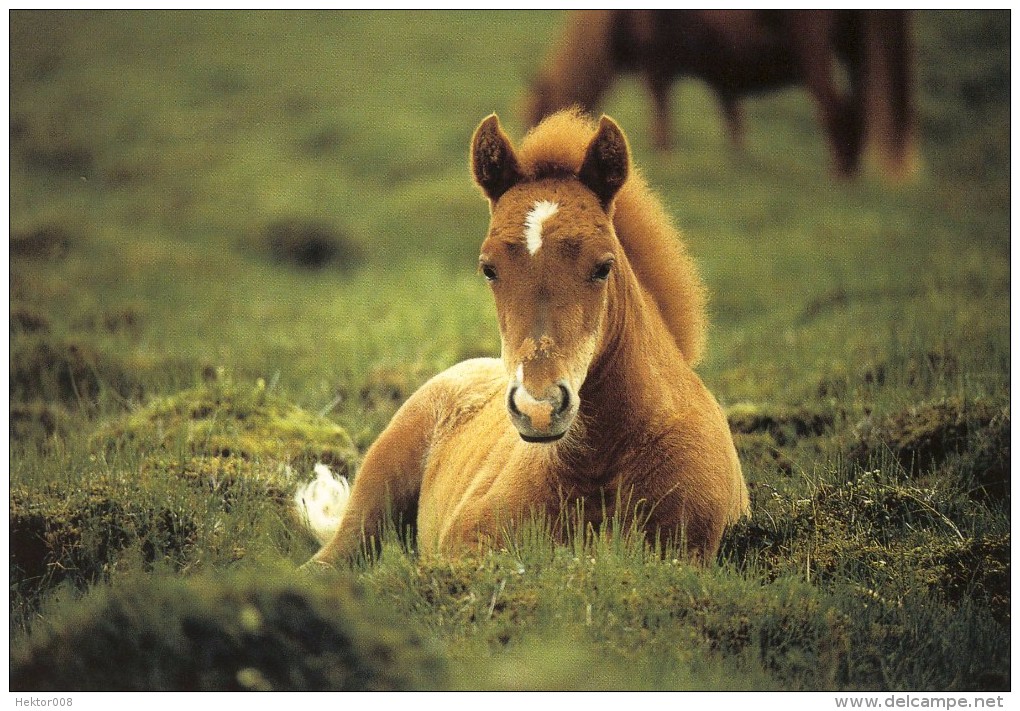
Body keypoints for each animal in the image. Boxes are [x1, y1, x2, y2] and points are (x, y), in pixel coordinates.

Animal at [526, 10, 918, 180]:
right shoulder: (724, 79)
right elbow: (733, 121)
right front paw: (738, 160)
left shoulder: (657, 63)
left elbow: (662, 115)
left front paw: (666, 160)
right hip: (855, 51)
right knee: (858, 110)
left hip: (815, 47)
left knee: (837, 111)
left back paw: (839, 178)